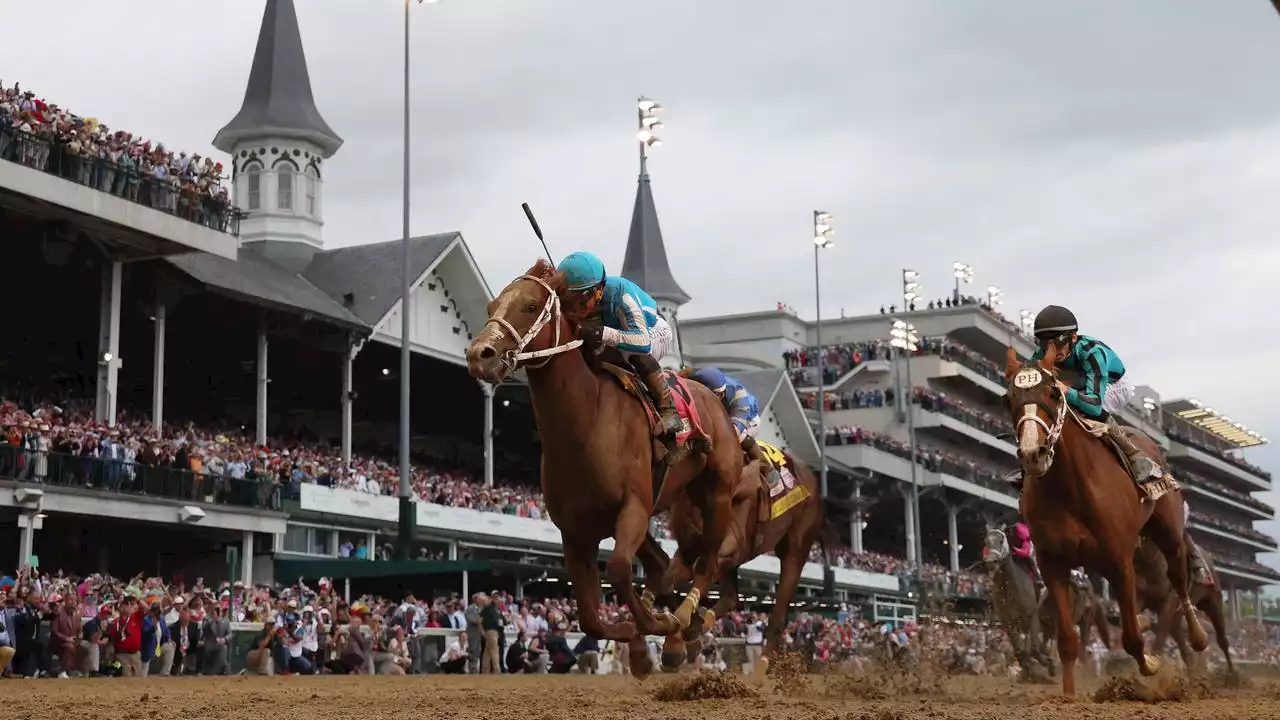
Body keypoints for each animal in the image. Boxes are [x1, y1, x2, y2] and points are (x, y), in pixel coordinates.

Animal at [463, 260, 742, 676]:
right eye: (492, 306)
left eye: (530, 306)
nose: (478, 354)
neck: (587, 424)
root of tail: (714, 398)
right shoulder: (575, 531)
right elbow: (591, 617)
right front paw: (636, 641)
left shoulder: (634, 508)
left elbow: (621, 570)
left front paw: (656, 625)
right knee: (663, 568)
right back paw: (675, 637)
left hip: (715, 495)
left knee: (703, 565)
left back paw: (683, 623)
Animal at [1003, 348, 1203, 696]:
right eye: (1008, 397)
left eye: (1053, 393)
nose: (1032, 453)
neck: (1067, 487)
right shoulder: (1052, 562)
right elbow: (1067, 641)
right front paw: (1069, 695)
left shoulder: (1118, 559)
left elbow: (1133, 638)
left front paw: (1151, 665)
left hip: (1169, 532)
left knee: (1178, 582)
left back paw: (1198, 636)